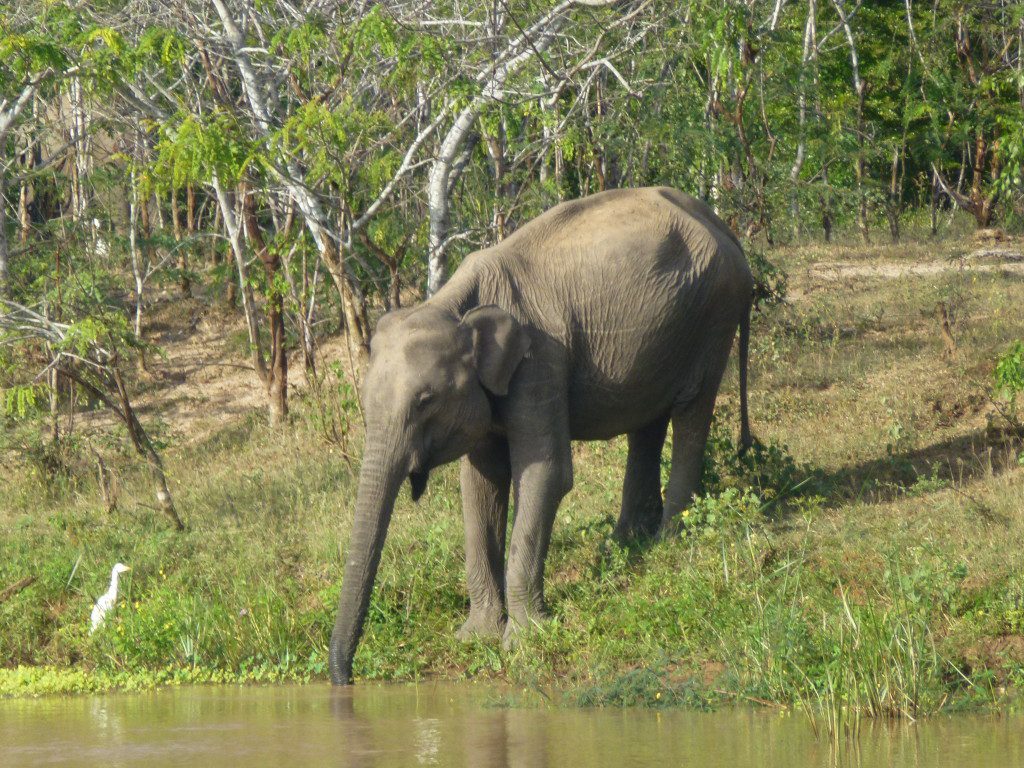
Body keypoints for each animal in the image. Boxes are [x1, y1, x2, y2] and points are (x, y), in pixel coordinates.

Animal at [327, 185, 753, 684]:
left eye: (425, 401)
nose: (346, 680)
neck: (454, 306)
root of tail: (723, 227)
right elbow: (481, 485)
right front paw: (476, 637)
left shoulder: (540, 361)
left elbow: (545, 474)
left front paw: (525, 640)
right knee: (646, 423)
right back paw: (625, 544)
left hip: (714, 314)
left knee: (691, 409)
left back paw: (668, 543)